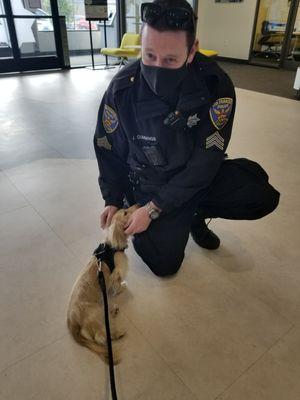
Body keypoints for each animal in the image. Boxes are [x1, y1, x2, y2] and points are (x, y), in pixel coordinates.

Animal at [67, 206, 137, 366]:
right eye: (125, 212)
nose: (137, 205)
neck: (110, 248)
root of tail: (72, 322)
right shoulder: (117, 272)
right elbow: (117, 285)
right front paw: (122, 287)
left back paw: (113, 310)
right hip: (97, 312)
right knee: (100, 336)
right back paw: (117, 333)